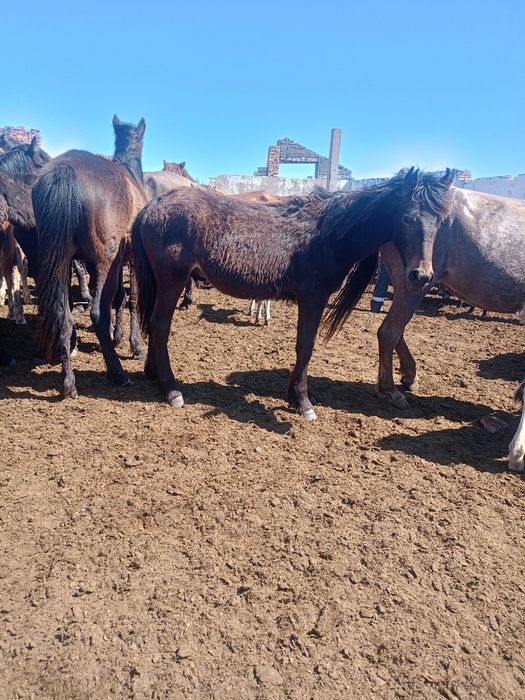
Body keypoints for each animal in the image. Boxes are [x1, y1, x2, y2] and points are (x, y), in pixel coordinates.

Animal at [32, 114, 147, 399]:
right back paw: (117, 372)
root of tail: (65, 172)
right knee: (97, 312)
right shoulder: (130, 260)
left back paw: (68, 383)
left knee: (62, 313)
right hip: (104, 261)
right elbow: (131, 299)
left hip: (61, 260)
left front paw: (118, 337)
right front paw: (135, 345)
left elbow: (119, 298)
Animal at [132, 168, 454, 419]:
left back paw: (154, 375)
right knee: (160, 326)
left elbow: (304, 345)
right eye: (407, 218)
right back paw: (171, 388)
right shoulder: (313, 298)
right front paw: (302, 401)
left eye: (441, 221)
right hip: (172, 280)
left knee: (153, 323)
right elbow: (306, 346)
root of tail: (152, 205)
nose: (421, 275)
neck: (327, 234)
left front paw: (292, 395)